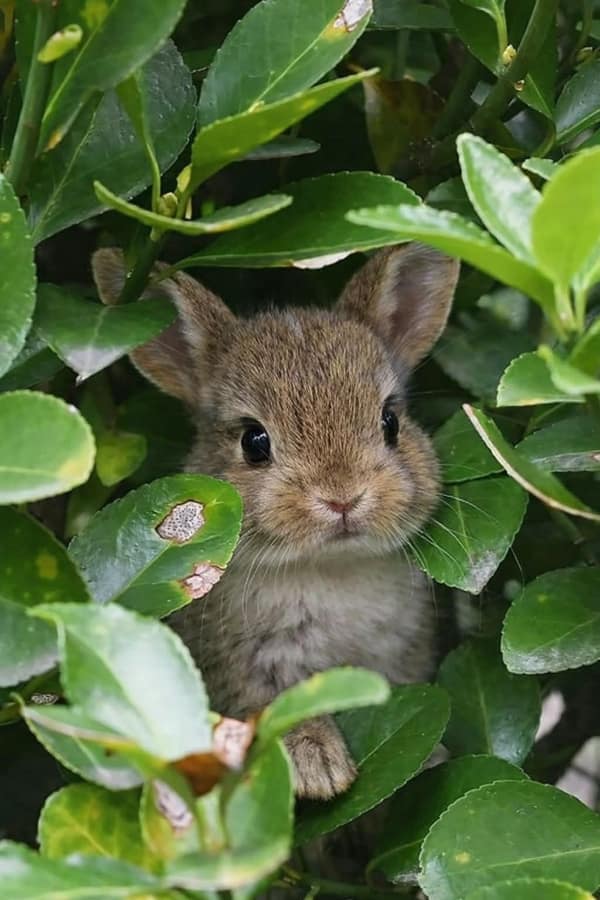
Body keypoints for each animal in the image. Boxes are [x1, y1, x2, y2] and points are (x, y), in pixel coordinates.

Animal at [92, 243, 459, 801]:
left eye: (390, 422)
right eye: (254, 441)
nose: (343, 497)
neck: (330, 567)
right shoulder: (245, 673)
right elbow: (268, 712)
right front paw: (316, 762)